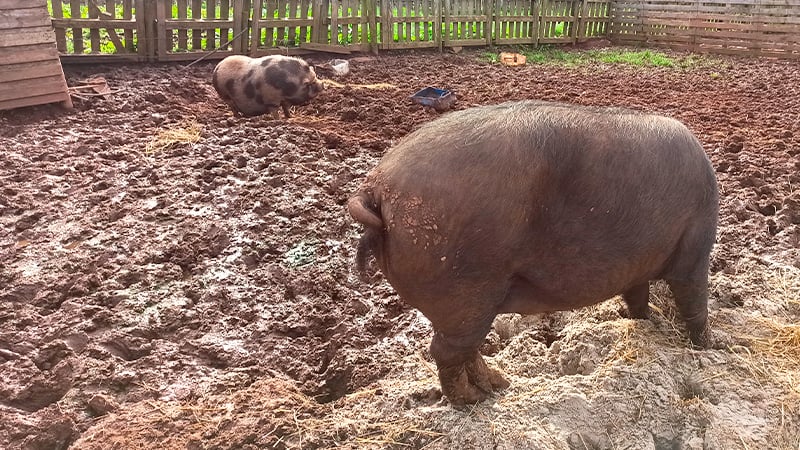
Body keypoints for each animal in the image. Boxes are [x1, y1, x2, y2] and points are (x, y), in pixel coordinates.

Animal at [348, 100, 720, 406]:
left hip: (465, 301)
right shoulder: (695, 247)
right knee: (445, 350)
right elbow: (694, 299)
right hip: (464, 288)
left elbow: (637, 297)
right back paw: (472, 400)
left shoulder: (636, 268)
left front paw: (647, 321)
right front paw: (708, 346)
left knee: (461, 348)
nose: (712, 346)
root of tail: (374, 187)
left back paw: (498, 385)